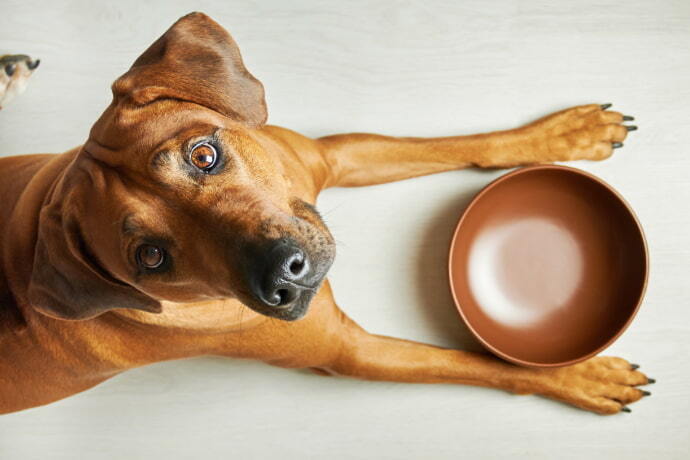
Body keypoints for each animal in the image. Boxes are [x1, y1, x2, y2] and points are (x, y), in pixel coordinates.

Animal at [0, 12, 652, 416]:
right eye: (151, 258)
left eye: (203, 155)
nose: (281, 276)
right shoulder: (352, 353)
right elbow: (479, 365)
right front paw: (579, 377)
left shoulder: (327, 157)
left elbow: (457, 143)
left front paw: (564, 133)